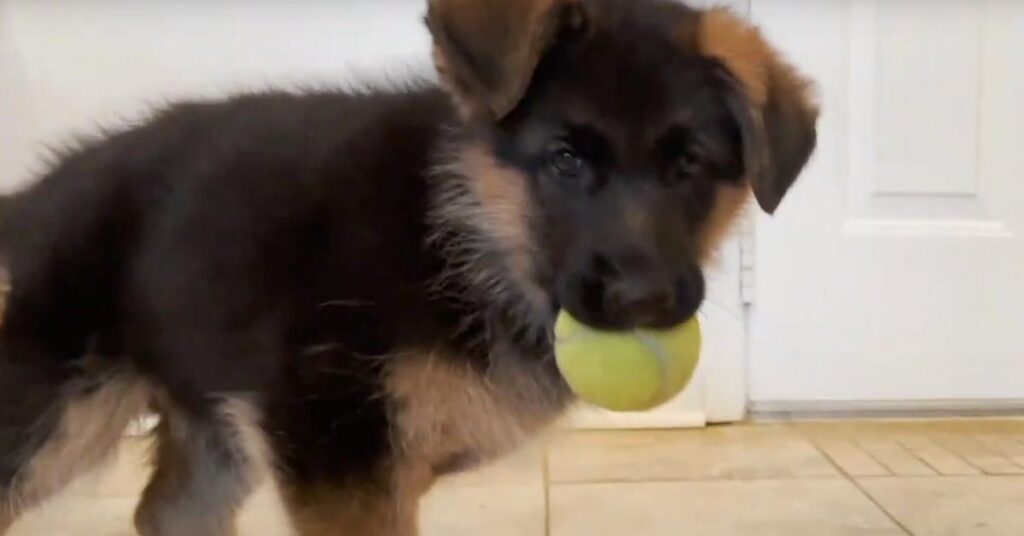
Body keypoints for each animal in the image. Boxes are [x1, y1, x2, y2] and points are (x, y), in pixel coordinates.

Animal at [0, 2, 815, 532]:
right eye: (565, 160)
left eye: (690, 167)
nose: (643, 300)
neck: (465, 235)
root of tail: (40, 194)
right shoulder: (342, 463)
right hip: (58, 414)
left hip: (213, 423)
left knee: (164, 512)